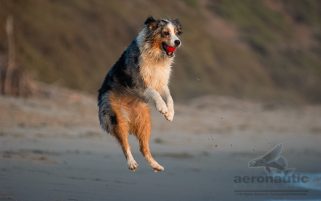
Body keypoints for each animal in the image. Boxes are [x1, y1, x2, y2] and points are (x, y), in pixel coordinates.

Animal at [97, 16, 181, 172]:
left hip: (144, 121)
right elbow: (153, 92)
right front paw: (162, 107)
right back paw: (131, 163)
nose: (178, 42)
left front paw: (170, 113)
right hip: (116, 116)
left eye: (177, 33)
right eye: (166, 33)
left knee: (143, 148)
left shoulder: (162, 82)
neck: (156, 56)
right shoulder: (137, 81)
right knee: (125, 144)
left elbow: (169, 97)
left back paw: (156, 165)